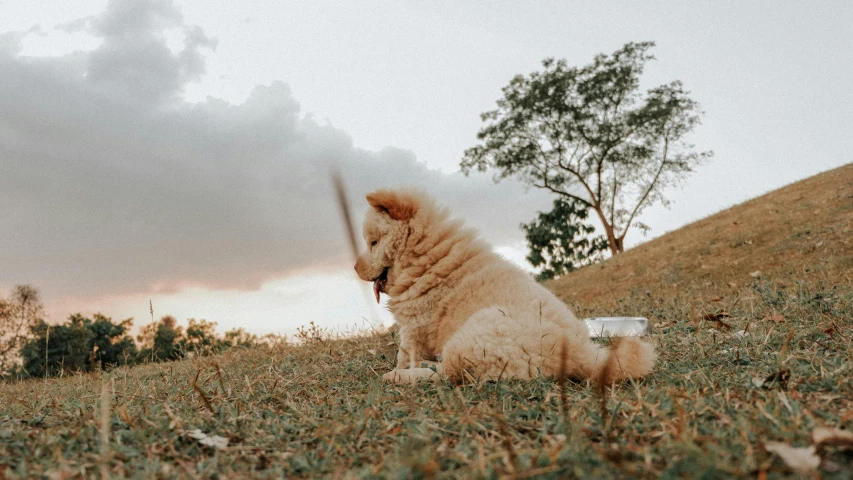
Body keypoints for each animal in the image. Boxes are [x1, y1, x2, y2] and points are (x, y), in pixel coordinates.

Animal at [352, 189, 652, 384]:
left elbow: (404, 353)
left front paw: (399, 368)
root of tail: (581, 354)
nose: (354, 268)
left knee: (449, 375)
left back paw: (401, 376)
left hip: (478, 332)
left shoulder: (414, 326)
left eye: (373, 243)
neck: (424, 254)